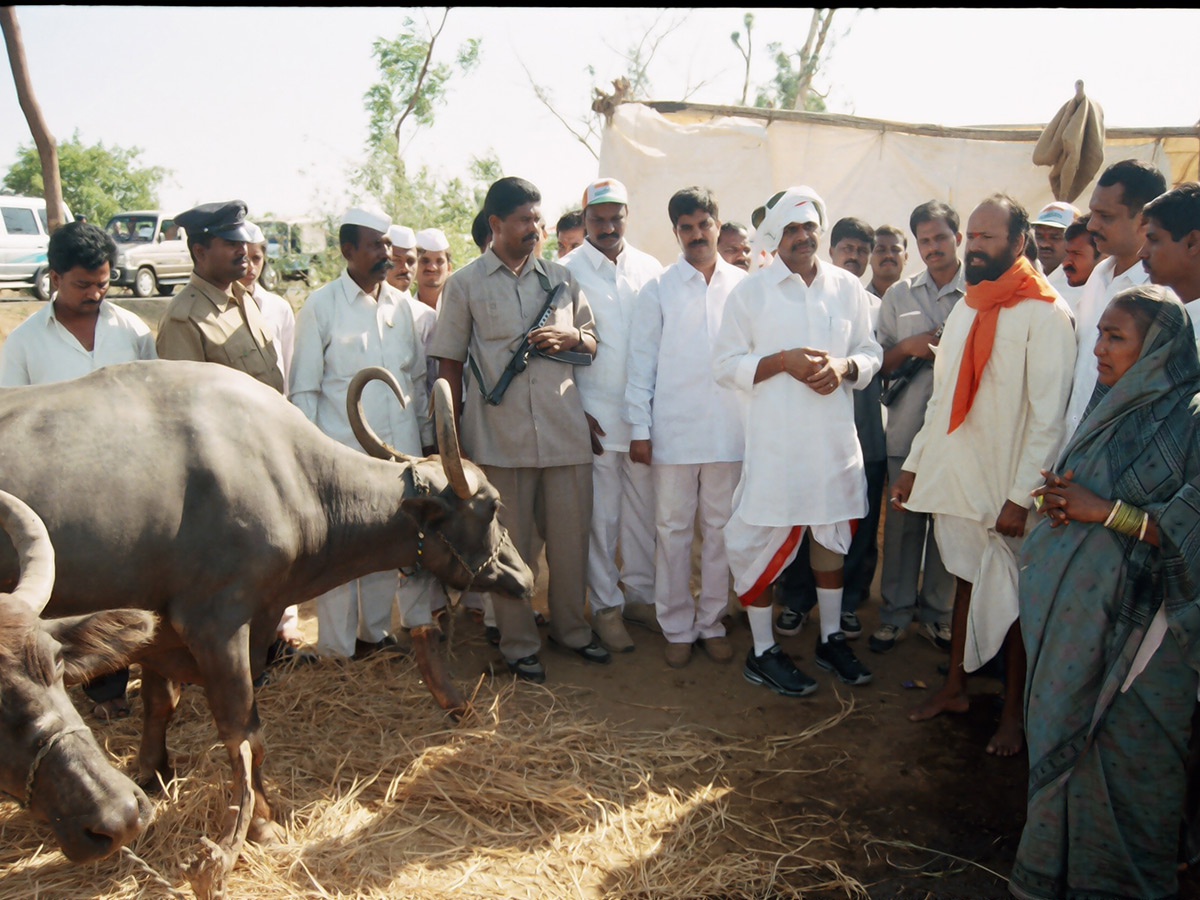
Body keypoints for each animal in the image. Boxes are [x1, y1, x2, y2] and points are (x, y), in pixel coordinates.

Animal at [0, 362, 530, 873]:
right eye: (493, 505)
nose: (523, 576)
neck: (289, 477)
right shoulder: (218, 626)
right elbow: (243, 732)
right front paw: (261, 822)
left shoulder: (161, 627)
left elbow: (160, 703)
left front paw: (152, 773)